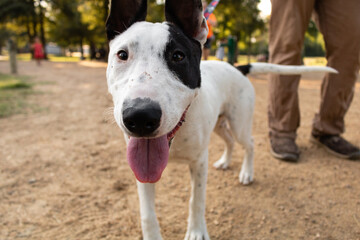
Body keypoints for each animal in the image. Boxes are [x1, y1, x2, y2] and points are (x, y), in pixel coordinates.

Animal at [105, 0, 338, 239]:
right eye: (122, 54)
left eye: (178, 56)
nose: (140, 116)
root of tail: (236, 67)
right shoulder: (142, 170)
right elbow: (147, 213)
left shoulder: (199, 162)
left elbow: (196, 201)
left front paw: (196, 231)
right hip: (218, 124)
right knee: (230, 141)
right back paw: (226, 161)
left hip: (239, 122)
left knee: (249, 143)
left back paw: (246, 173)